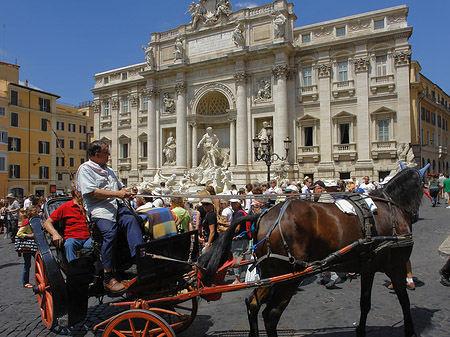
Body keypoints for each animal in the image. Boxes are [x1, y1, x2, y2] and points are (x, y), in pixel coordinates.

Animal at [199, 165, 428, 336]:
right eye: (423, 187)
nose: (416, 216)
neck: (391, 206)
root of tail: (261, 216)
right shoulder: (396, 265)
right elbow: (404, 300)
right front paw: (410, 330)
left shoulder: (369, 268)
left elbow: (365, 302)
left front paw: (361, 331)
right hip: (290, 276)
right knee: (271, 314)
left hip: (272, 273)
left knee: (253, 303)